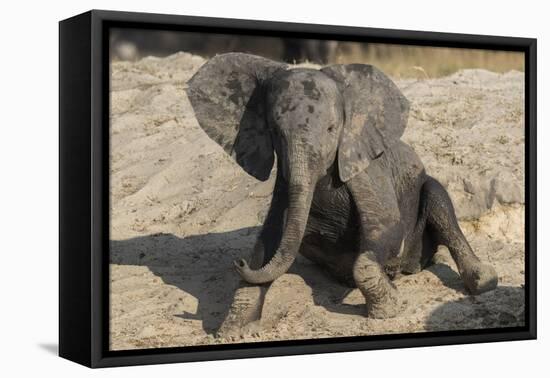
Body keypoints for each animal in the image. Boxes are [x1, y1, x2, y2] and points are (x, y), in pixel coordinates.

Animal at [187, 53, 500, 334]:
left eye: (331, 129)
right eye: (275, 132)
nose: (237, 262)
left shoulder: (364, 168)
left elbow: (387, 226)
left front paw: (389, 309)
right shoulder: (284, 181)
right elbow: (270, 240)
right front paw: (233, 331)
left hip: (427, 196)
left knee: (439, 202)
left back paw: (483, 282)